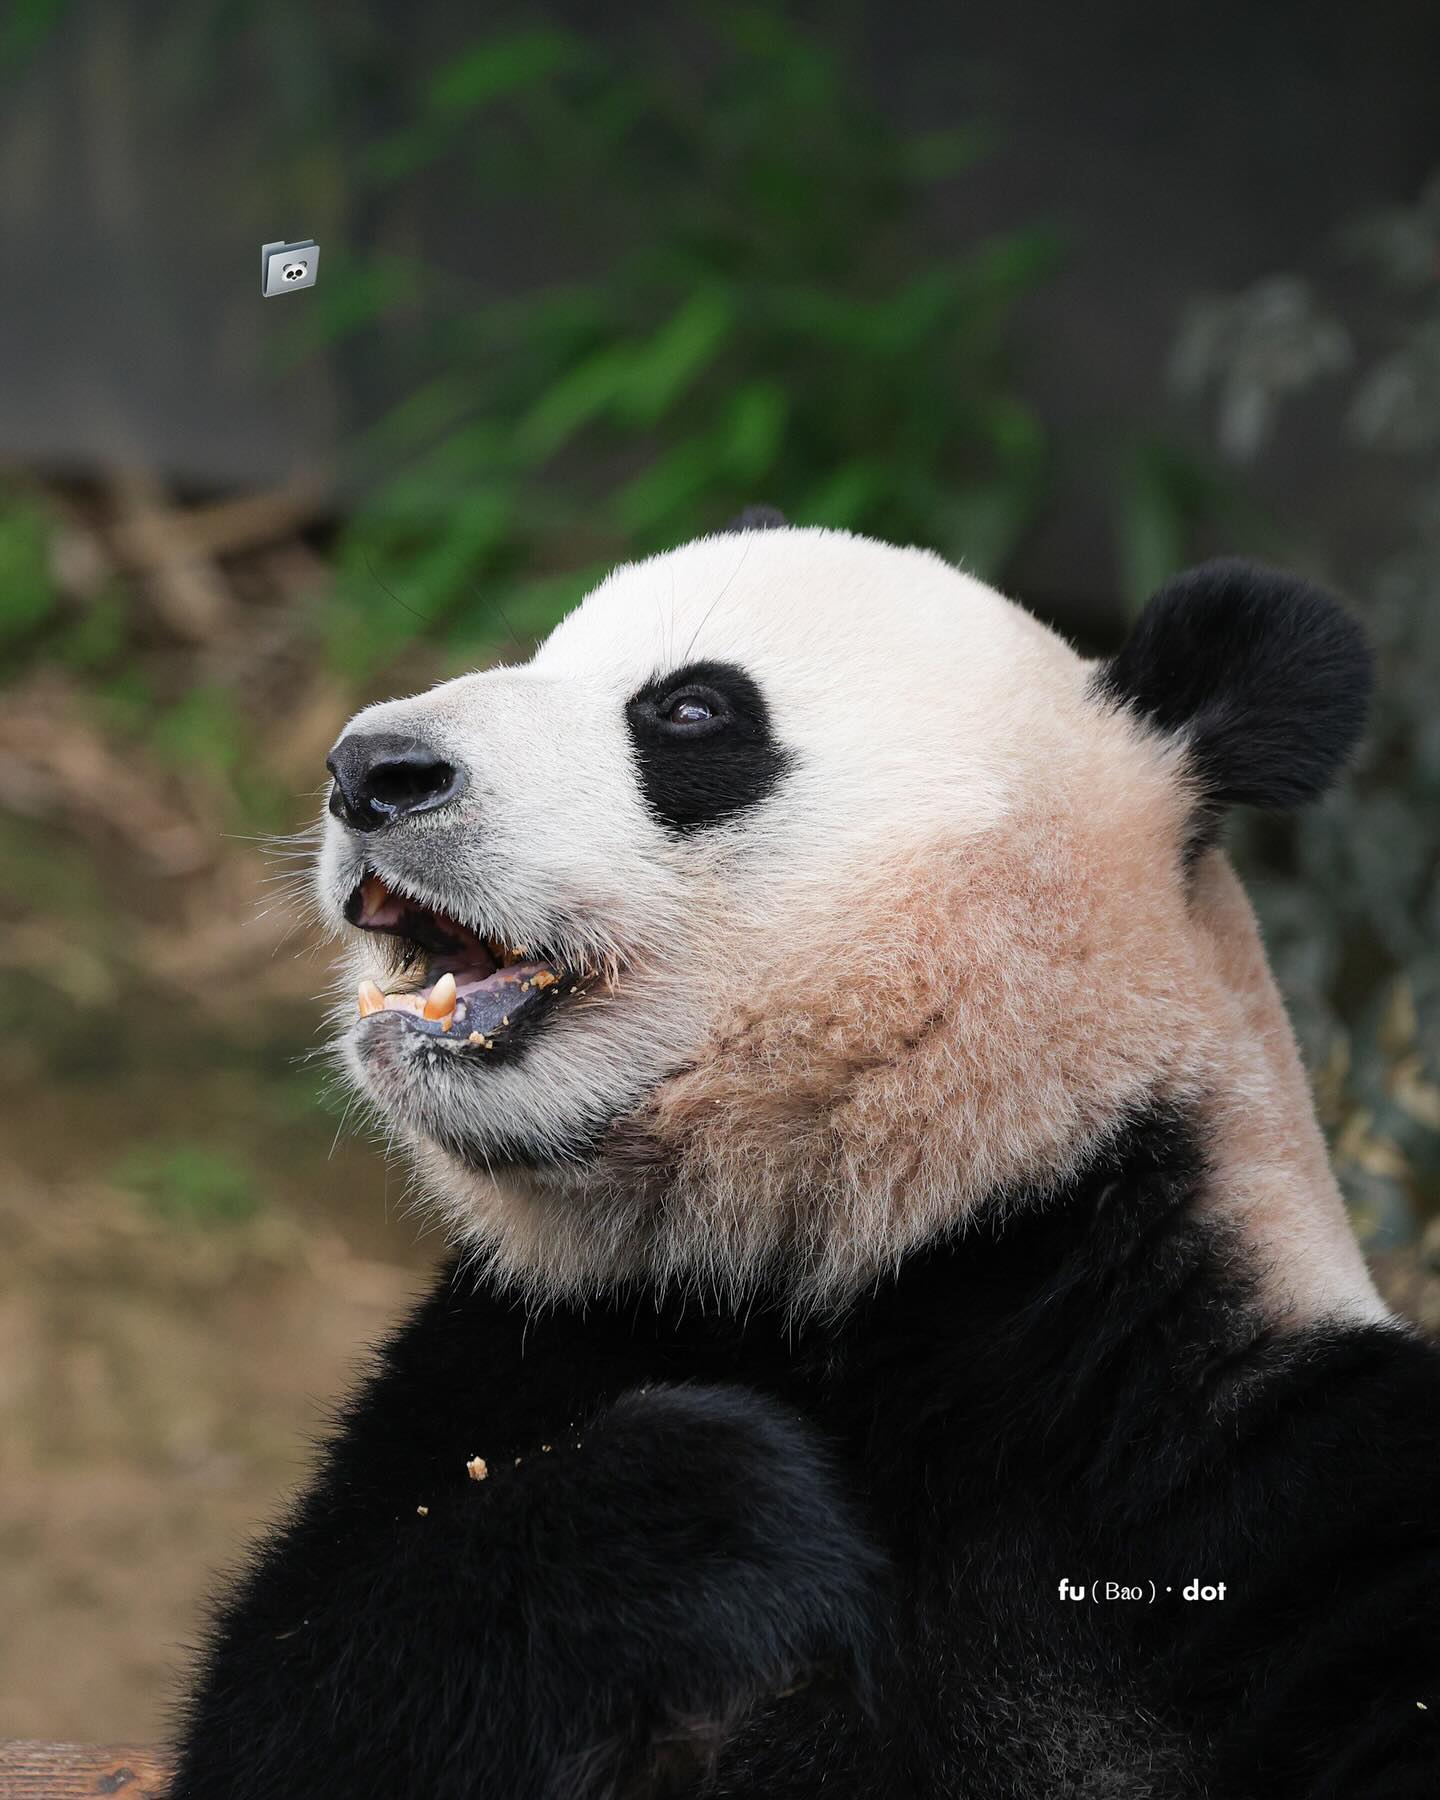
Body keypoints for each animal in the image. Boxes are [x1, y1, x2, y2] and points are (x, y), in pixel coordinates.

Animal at [171, 514, 1440, 1792]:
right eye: (543, 654)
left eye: (690, 710)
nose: (370, 771)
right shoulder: (522, 1346)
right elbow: (297, 1695)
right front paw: (720, 1518)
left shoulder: (1243, 1455)